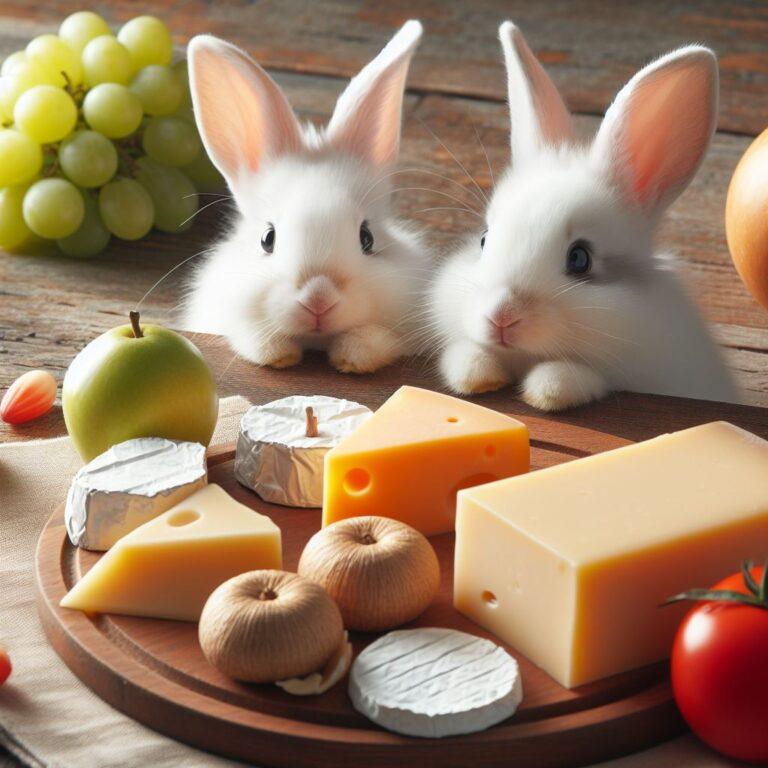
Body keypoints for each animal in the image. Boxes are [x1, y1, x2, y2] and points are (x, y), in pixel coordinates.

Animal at [183, 22, 428, 374]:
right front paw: (279, 352)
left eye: (367, 238)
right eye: (267, 239)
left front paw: (352, 356)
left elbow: (377, 339)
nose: (318, 299)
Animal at [432, 21, 736, 412]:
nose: (502, 316)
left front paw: (547, 390)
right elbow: (463, 355)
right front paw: (477, 376)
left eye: (580, 258)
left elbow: (579, 377)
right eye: (485, 240)